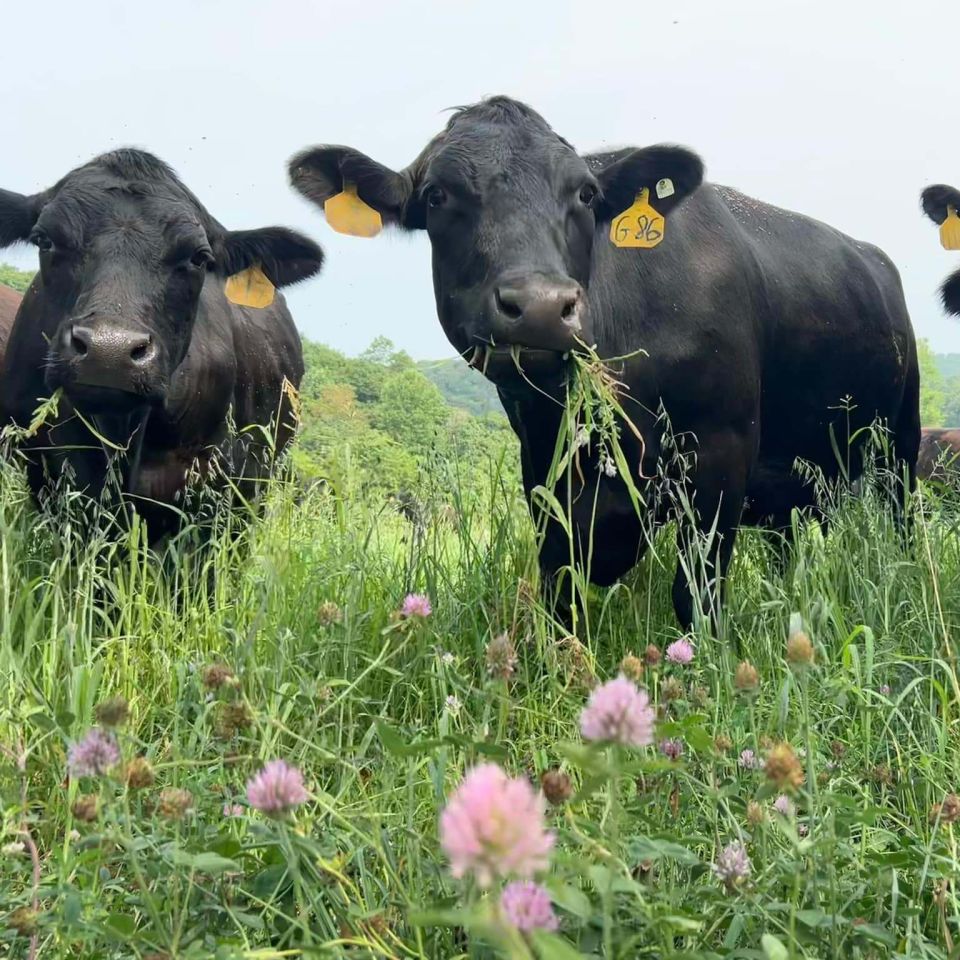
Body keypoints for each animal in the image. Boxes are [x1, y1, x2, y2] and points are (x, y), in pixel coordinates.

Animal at [290, 97, 920, 629]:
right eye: (437, 196)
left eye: (587, 195)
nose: (542, 305)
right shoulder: (544, 467)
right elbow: (560, 592)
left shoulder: (724, 453)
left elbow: (696, 596)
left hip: (900, 447)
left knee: (902, 525)